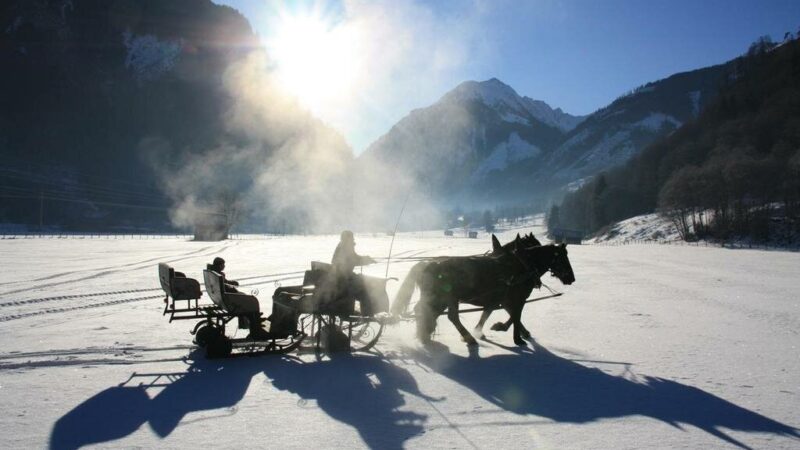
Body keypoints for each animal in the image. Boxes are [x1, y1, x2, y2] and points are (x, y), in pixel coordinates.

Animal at [394, 237, 576, 346]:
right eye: (562, 257)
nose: (571, 278)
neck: (521, 265)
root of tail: (427, 264)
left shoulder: (500, 300)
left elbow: (493, 314)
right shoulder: (516, 299)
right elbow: (515, 316)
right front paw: (513, 336)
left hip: (443, 299)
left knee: (428, 311)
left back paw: (426, 333)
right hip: (444, 297)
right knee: (445, 315)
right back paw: (464, 337)